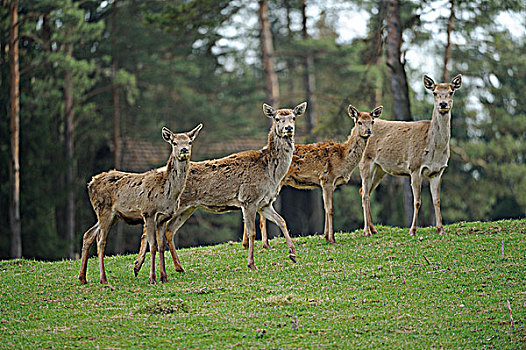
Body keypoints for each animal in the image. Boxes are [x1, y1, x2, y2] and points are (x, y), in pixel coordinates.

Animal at [77, 123, 203, 284]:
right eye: (174, 142)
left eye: (190, 141)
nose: (184, 150)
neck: (167, 194)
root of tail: (90, 184)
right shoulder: (148, 213)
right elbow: (153, 246)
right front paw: (152, 278)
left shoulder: (163, 218)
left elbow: (161, 246)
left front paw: (164, 277)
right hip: (104, 210)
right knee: (101, 241)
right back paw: (103, 279)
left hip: (112, 215)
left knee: (89, 234)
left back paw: (82, 278)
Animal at [133, 102, 310, 274]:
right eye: (277, 118)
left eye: (293, 117)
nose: (289, 128)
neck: (270, 171)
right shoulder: (249, 199)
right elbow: (252, 232)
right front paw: (251, 264)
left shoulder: (265, 203)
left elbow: (282, 221)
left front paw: (293, 254)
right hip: (170, 206)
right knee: (147, 230)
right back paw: (137, 265)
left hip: (187, 208)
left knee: (169, 230)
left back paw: (178, 267)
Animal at [252, 104, 384, 246]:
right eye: (359, 122)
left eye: (372, 121)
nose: (368, 131)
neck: (342, 158)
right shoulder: (327, 179)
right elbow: (330, 209)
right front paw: (332, 239)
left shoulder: (328, 184)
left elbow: (325, 208)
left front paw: (326, 236)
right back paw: (265, 244)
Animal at [360, 75, 464, 237]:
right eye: (434, 92)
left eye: (451, 91)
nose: (443, 104)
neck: (434, 150)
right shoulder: (415, 167)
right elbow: (417, 201)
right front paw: (413, 230)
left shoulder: (437, 171)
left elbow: (437, 200)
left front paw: (441, 229)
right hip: (365, 161)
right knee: (364, 193)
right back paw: (366, 231)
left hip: (380, 168)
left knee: (366, 192)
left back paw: (373, 228)